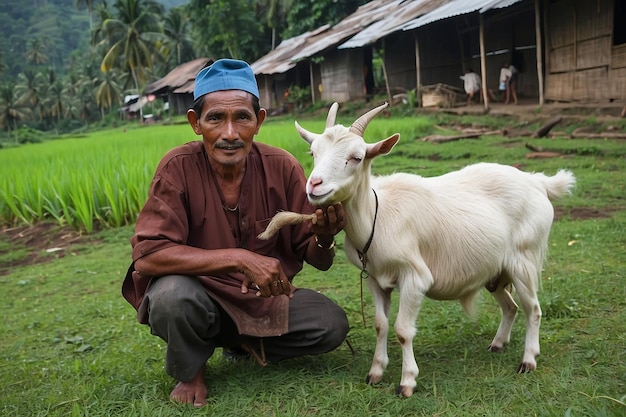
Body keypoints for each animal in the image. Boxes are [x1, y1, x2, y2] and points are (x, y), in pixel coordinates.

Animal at [276, 101, 572, 396]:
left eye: (357, 157)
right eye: (313, 153)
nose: (314, 185)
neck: (377, 216)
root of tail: (538, 182)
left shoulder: (415, 277)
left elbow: (403, 330)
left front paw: (407, 381)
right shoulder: (375, 279)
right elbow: (381, 325)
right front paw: (375, 372)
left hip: (525, 259)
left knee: (533, 309)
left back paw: (528, 360)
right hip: (496, 270)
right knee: (510, 306)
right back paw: (498, 343)